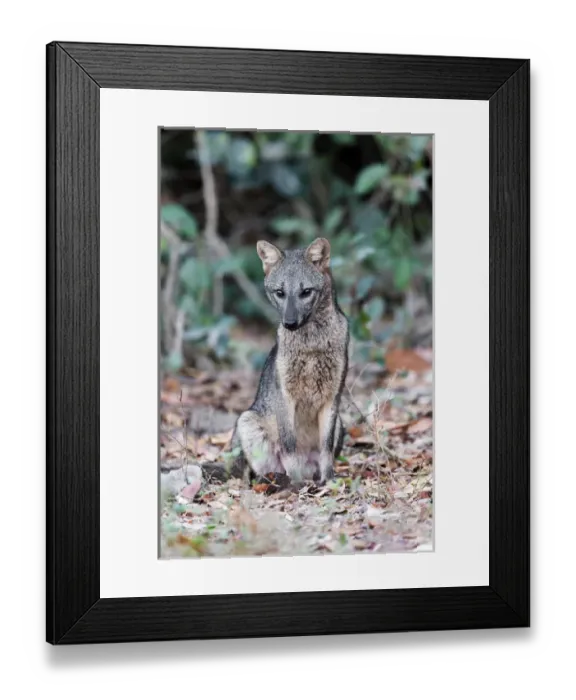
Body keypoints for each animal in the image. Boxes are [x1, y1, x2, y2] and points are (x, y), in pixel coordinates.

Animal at [202, 237, 349, 487]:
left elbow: (326, 449)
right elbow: (289, 447)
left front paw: (329, 481)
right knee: (257, 474)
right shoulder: (285, 396)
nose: (289, 323)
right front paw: (297, 485)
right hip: (247, 421)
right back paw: (282, 481)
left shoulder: (333, 397)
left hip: (340, 423)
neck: (311, 345)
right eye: (280, 292)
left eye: (306, 292)